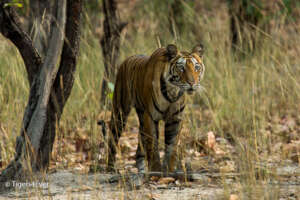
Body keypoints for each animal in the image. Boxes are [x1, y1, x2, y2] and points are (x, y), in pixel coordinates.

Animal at [105, 44, 204, 173]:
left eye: (197, 68)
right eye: (181, 68)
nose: (192, 83)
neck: (173, 91)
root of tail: (127, 59)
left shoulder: (175, 119)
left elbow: (171, 147)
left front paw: (169, 171)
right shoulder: (150, 117)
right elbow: (153, 146)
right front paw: (156, 170)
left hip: (141, 118)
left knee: (139, 149)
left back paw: (141, 170)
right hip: (120, 112)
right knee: (113, 138)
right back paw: (110, 168)